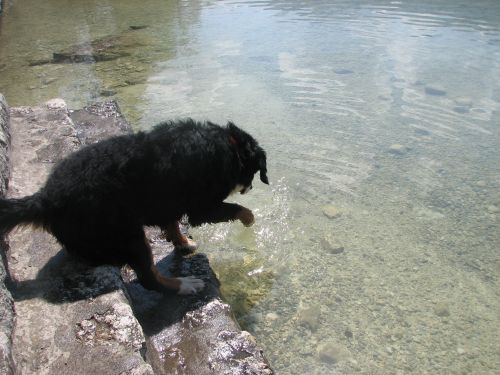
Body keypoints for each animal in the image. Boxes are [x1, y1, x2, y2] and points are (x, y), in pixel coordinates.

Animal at [0, 119, 268, 296]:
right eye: (255, 171)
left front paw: (182, 242)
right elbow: (236, 208)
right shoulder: (202, 205)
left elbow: (172, 223)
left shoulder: (166, 199)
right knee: (149, 278)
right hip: (128, 235)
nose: (251, 188)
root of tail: (45, 198)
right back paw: (184, 285)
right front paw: (249, 218)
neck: (227, 147)